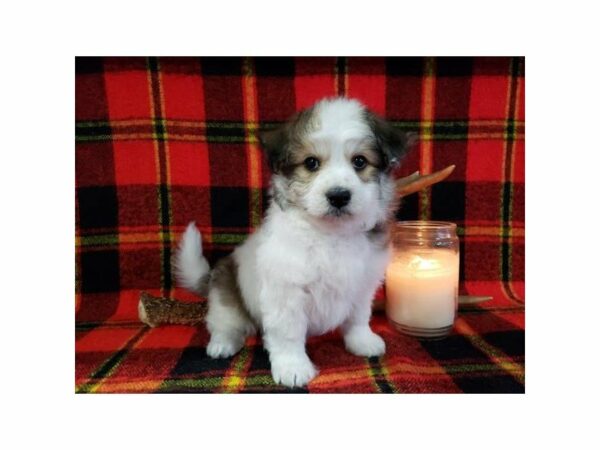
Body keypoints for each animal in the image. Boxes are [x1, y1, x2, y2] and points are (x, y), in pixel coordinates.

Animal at [175, 96, 412, 386]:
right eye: (311, 163)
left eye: (359, 161)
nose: (338, 196)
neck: (331, 234)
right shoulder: (286, 292)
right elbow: (288, 333)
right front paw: (293, 367)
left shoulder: (362, 284)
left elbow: (358, 317)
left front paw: (362, 341)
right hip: (225, 294)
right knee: (223, 322)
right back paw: (222, 344)